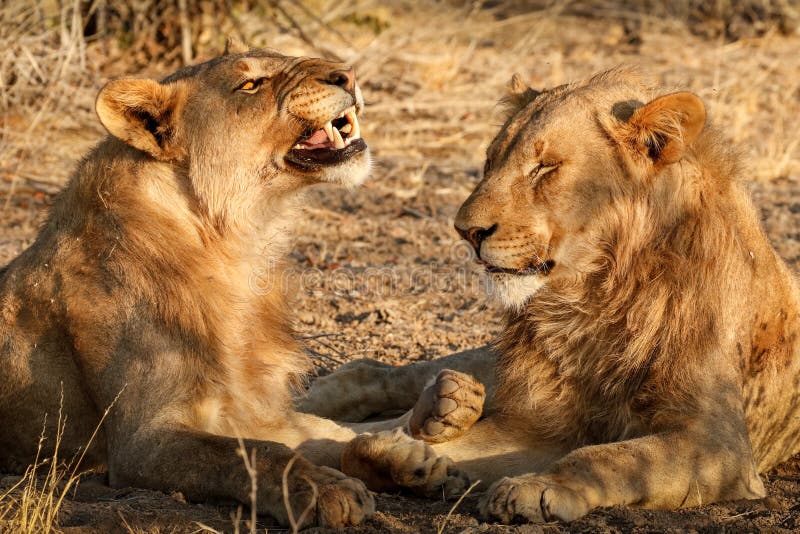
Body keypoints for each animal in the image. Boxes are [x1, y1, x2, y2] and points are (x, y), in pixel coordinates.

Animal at [0, 38, 469, 529]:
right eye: (250, 85)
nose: (348, 75)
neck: (233, 244)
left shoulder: (254, 406)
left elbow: (323, 435)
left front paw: (409, 461)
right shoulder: (142, 441)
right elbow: (258, 455)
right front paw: (324, 489)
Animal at [302, 67, 800, 524]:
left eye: (544, 168)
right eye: (490, 162)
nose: (466, 231)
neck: (595, 297)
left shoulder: (718, 444)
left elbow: (610, 457)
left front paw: (536, 489)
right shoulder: (543, 420)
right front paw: (405, 460)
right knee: (381, 375)